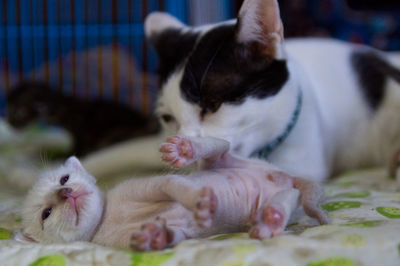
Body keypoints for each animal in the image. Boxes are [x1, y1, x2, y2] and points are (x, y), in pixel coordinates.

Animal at [6, 81, 159, 156]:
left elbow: (77, 149)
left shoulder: (81, 133)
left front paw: (61, 156)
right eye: (8, 109)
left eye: (19, 114)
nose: (9, 124)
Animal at [17, 136, 326, 250]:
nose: (66, 192)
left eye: (64, 178)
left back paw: (186, 149)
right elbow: (173, 237)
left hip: (227, 160)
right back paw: (271, 219)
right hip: (277, 196)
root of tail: (284, 176)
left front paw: (199, 201)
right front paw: (155, 237)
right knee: (287, 199)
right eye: (46, 213)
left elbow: (173, 185)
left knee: (219, 148)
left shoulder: (148, 185)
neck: (106, 217)